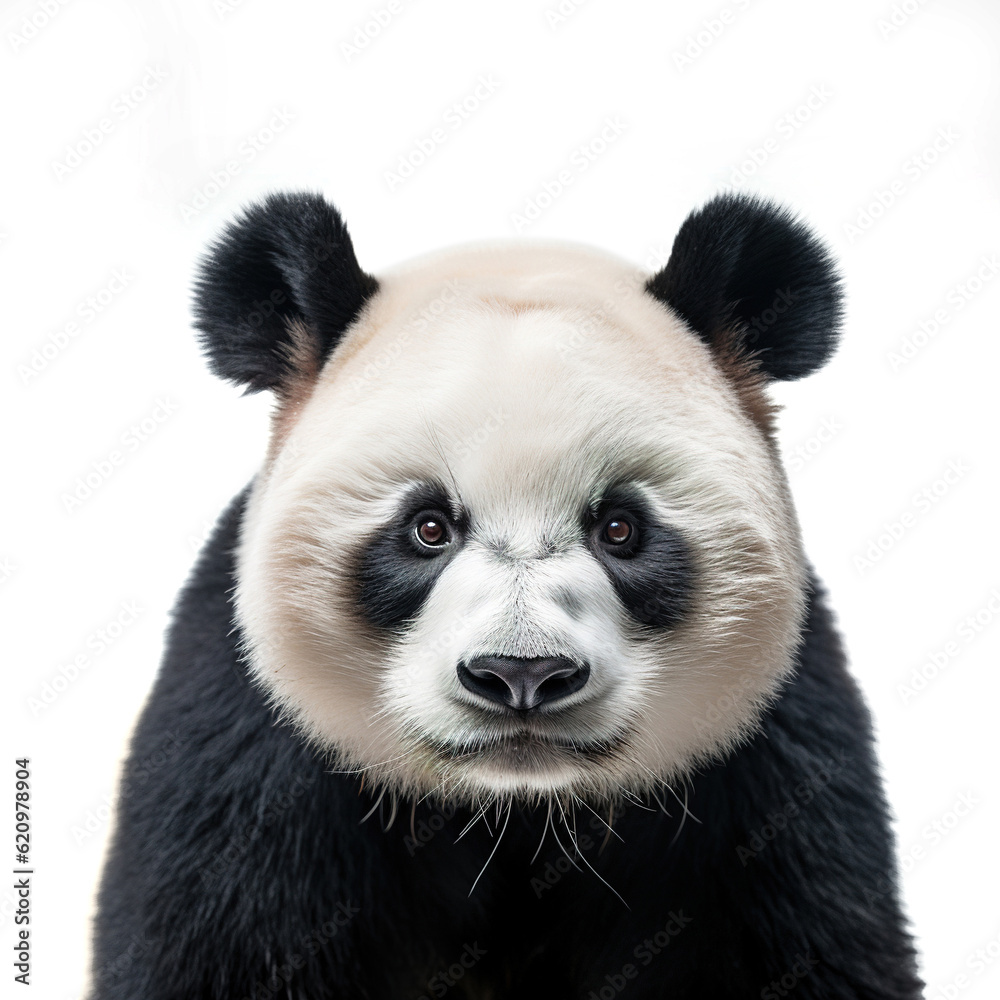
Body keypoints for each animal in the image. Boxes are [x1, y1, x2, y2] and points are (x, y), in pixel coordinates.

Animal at [88, 191, 923, 999]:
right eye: (428, 528)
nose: (522, 675)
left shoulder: (763, 777)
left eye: (620, 528)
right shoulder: (254, 768)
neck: (517, 812)